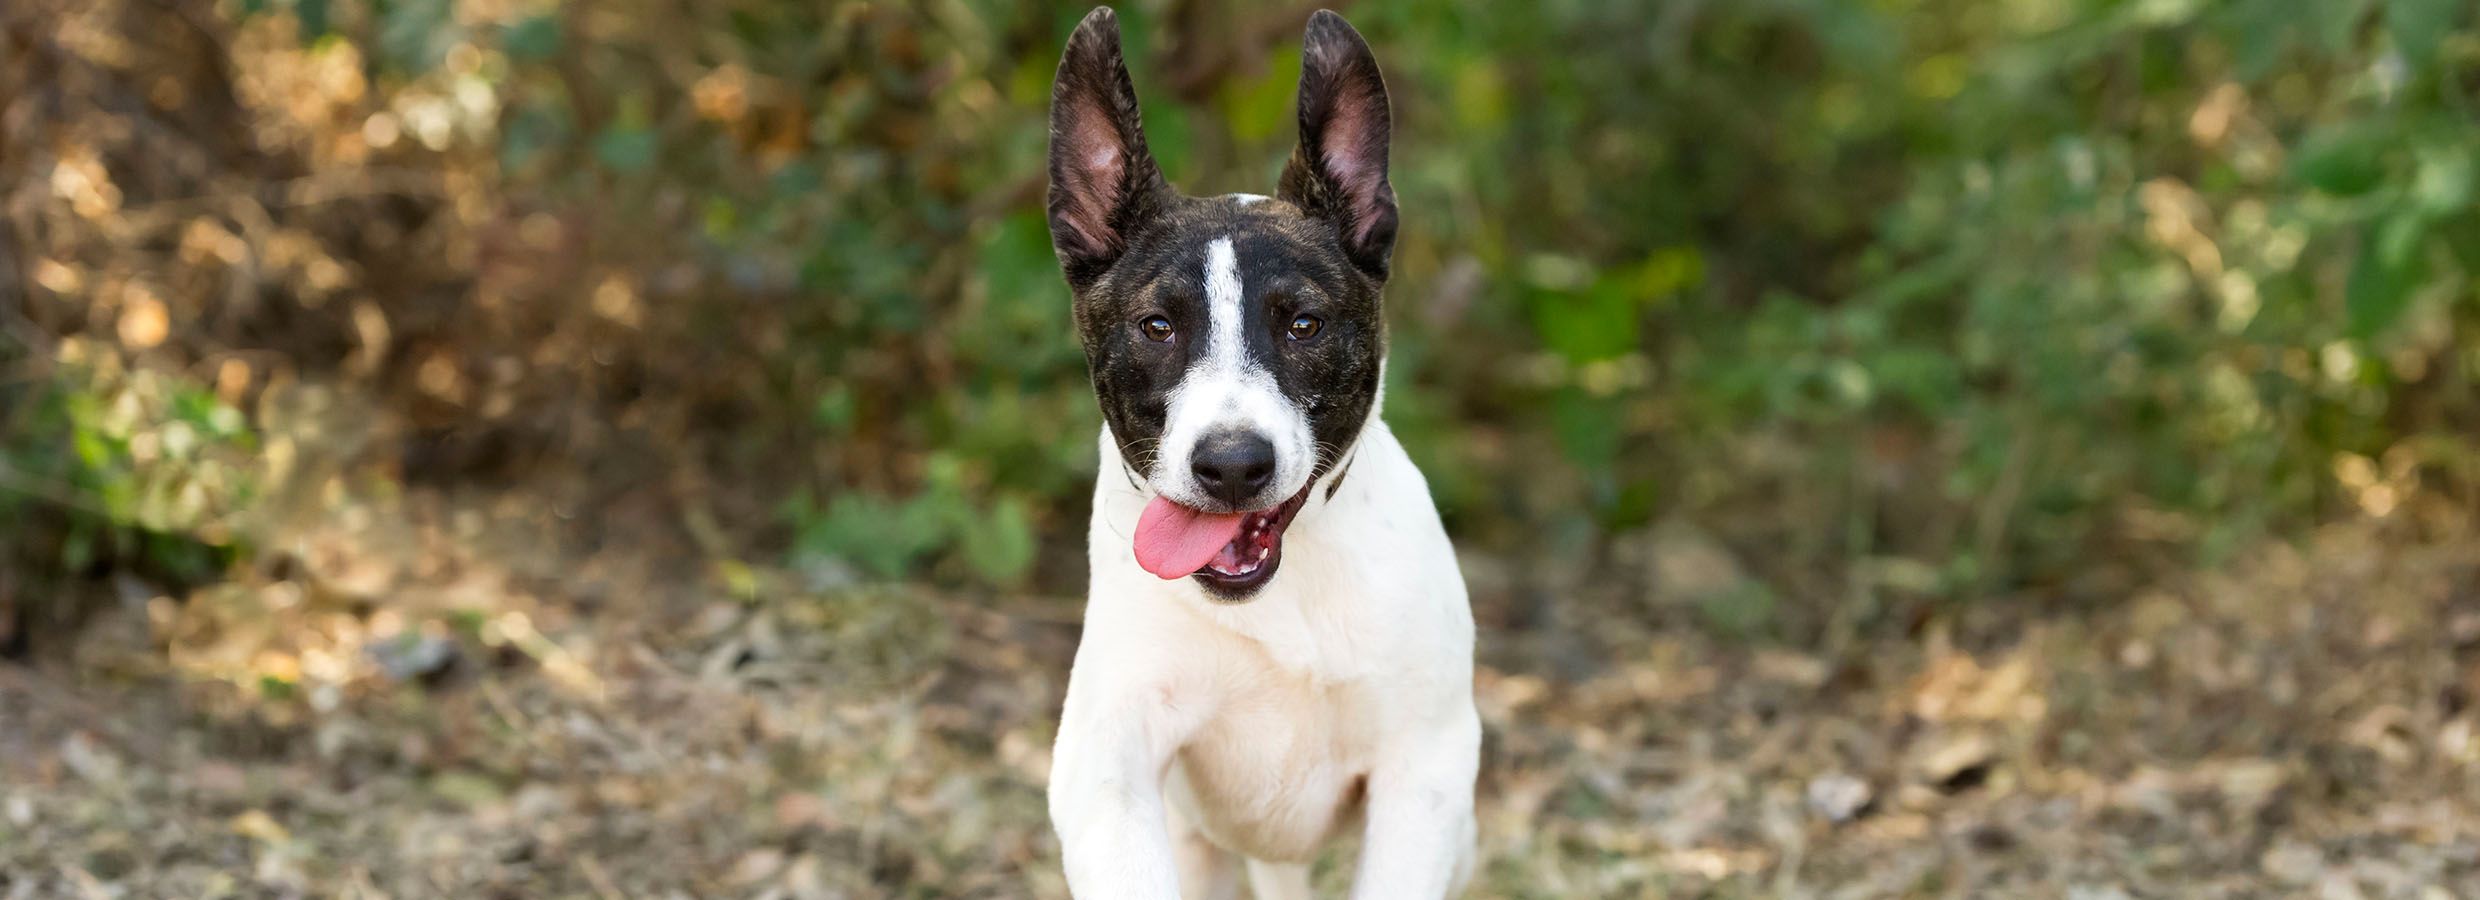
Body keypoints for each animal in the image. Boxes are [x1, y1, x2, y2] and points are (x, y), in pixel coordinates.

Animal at [1041, 7, 1468, 900]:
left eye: (1303, 324)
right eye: (1157, 326)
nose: (1233, 466)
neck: (1282, 593)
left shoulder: (1425, 775)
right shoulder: (1105, 766)